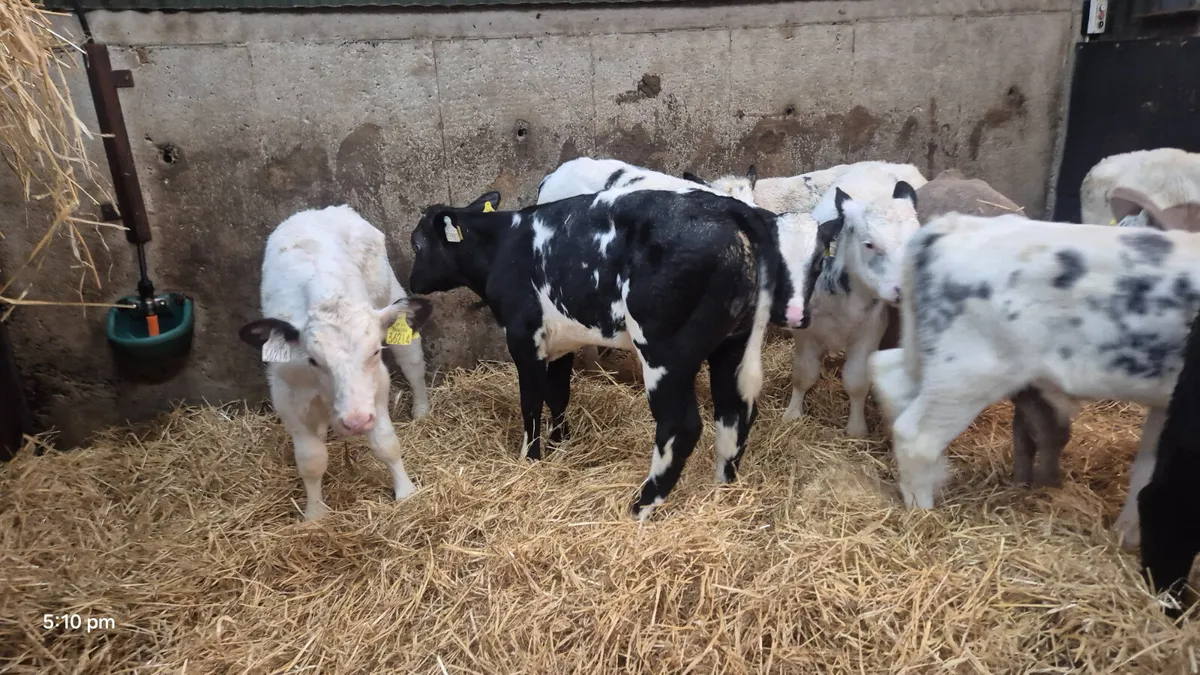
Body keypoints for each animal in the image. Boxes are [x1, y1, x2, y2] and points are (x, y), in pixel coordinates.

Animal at [238, 205, 434, 521]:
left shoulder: (377, 386)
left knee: (411, 359)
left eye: (375, 352)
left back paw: (421, 409)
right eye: (313, 359)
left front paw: (405, 491)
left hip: (390, 292)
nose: (356, 421)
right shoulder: (287, 397)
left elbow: (386, 443)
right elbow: (311, 460)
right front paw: (314, 514)